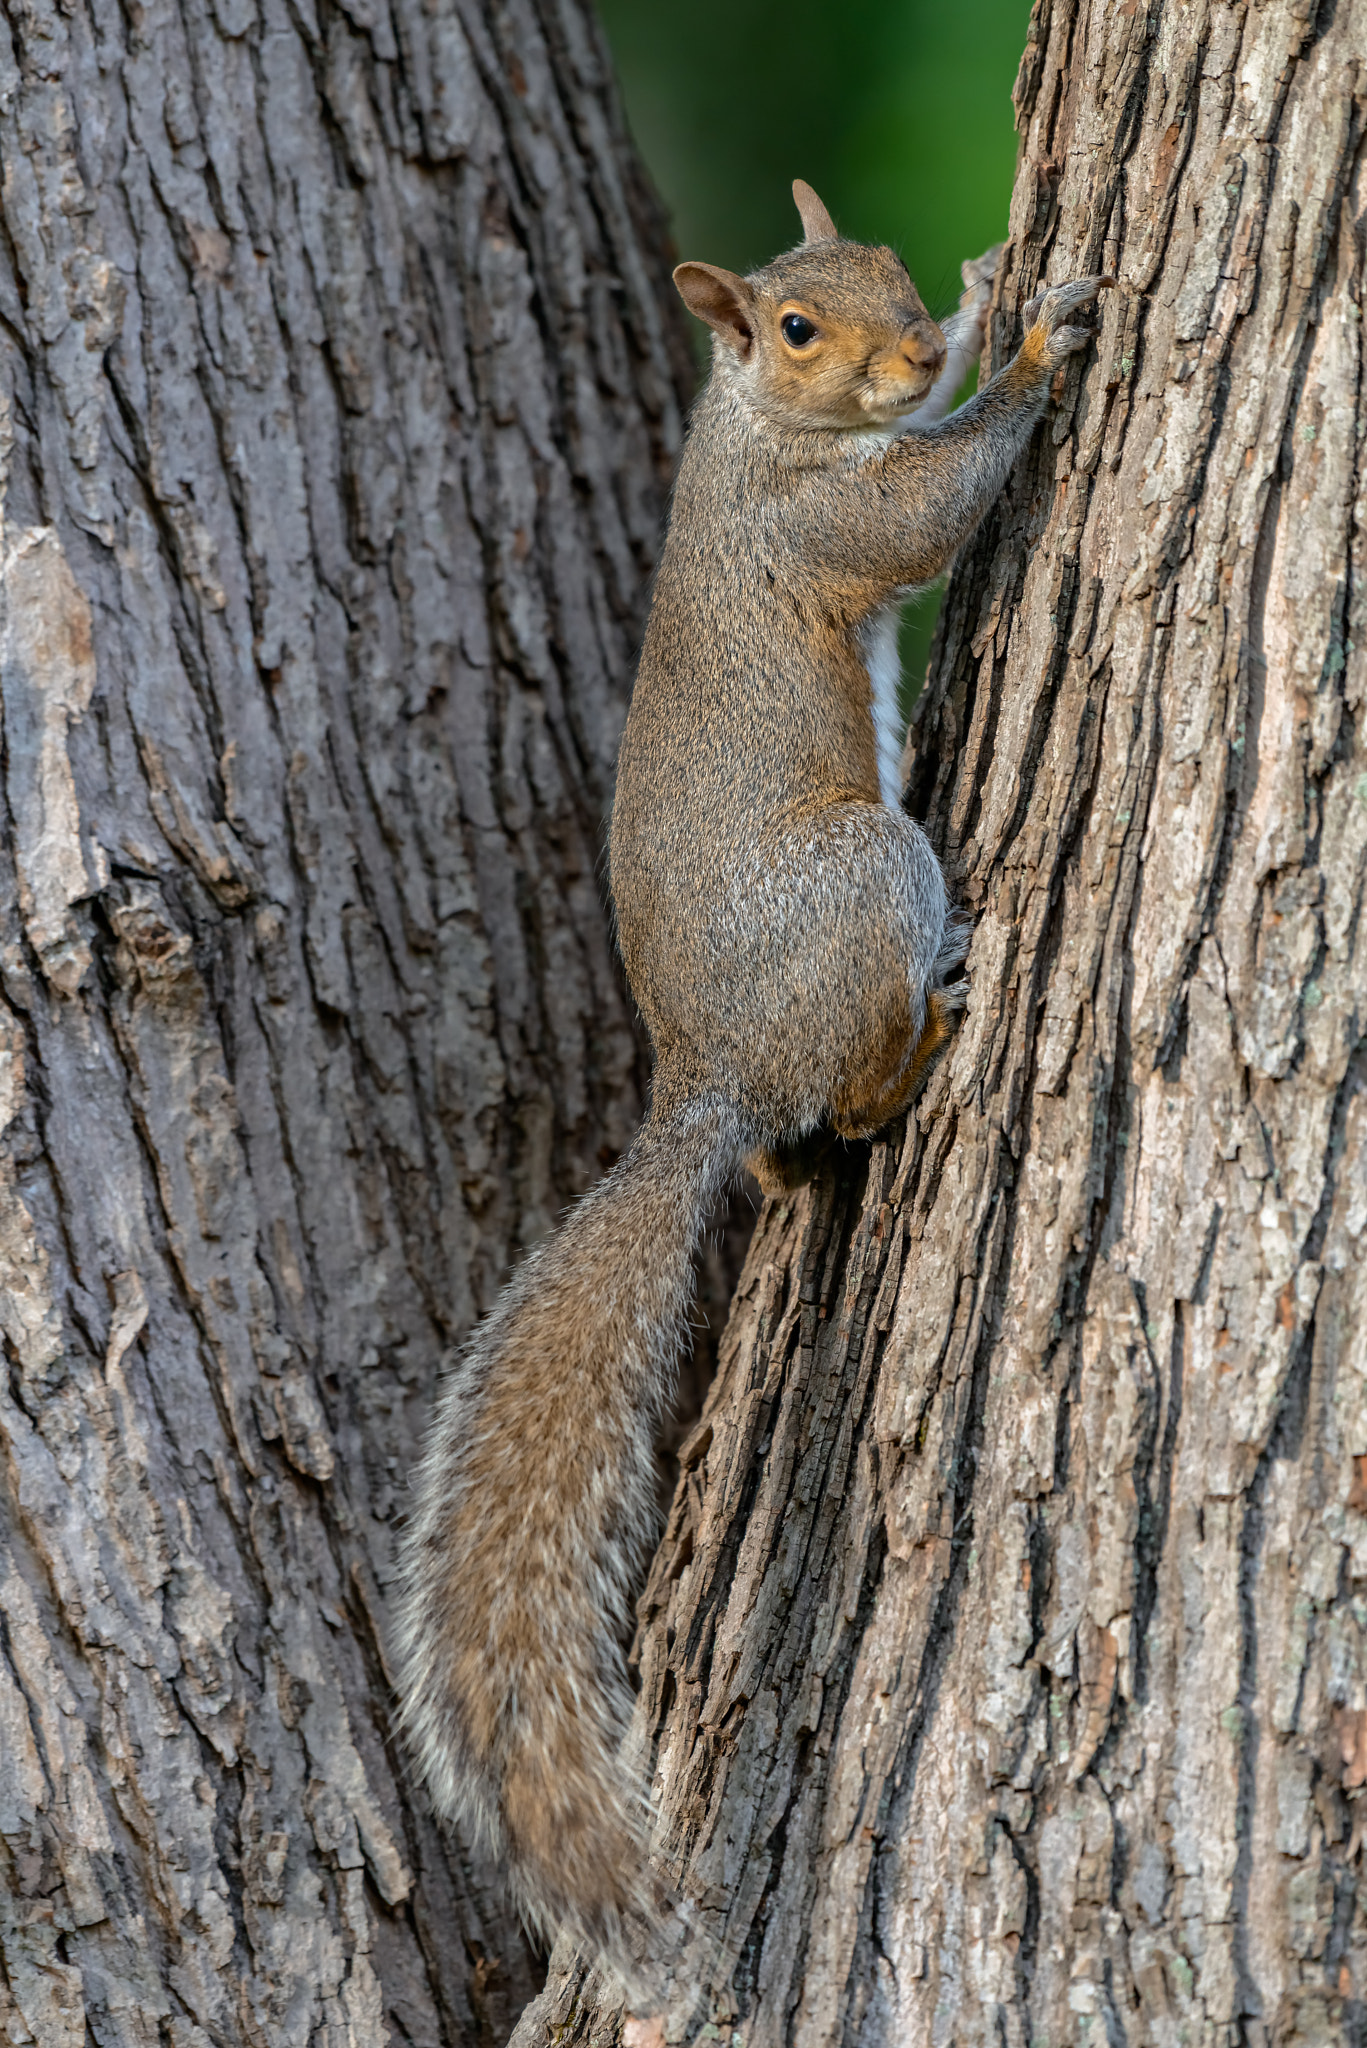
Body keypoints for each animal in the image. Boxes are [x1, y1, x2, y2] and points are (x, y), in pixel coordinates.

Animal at [396, 181, 1110, 1976]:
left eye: (881, 268)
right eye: (792, 327)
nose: (916, 345)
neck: (751, 431)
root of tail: (707, 1077)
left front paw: (990, 295)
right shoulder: (821, 522)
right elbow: (926, 507)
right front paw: (1031, 350)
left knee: (798, 1152)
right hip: (862, 875)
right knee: (847, 1103)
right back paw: (932, 1034)